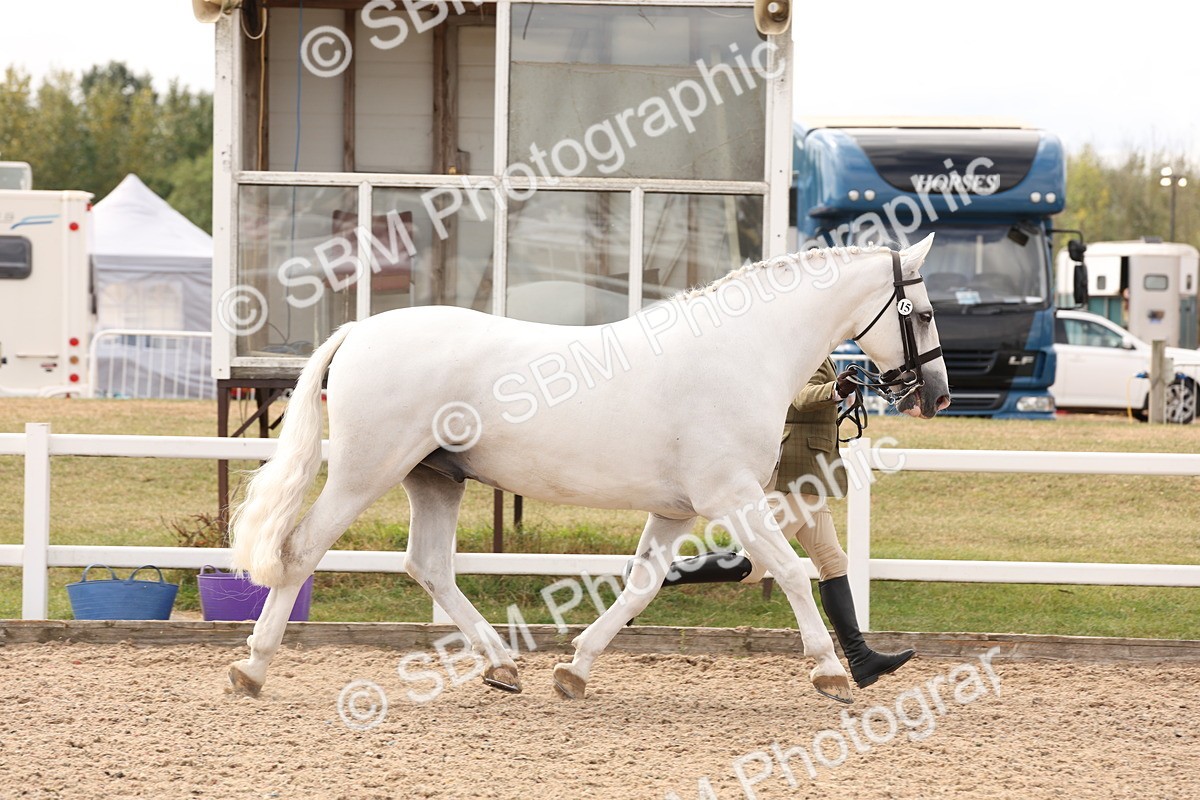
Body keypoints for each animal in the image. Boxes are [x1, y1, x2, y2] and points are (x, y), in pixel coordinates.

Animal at [226, 234, 950, 704]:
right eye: (922, 312)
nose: (938, 396)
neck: (742, 352)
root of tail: (360, 331)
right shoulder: (735, 497)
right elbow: (797, 573)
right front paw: (830, 673)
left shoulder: (677, 510)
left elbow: (642, 586)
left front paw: (575, 669)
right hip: (363, 473)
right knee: (301, 550)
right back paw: (252, 668)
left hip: (435, 478)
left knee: (428, 566)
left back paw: (503, 665)